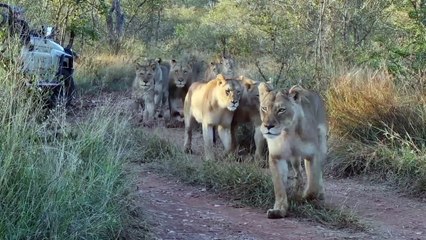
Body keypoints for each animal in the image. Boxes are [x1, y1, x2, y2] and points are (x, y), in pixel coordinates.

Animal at [256, 82, 330, 219]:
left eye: (281, 110)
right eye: (264, 108)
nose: (268, 126)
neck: (287, 132)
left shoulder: (313, 154)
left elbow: (313, 185)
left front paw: (305, 197)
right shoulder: (277, 157)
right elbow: (279, 187)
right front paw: (279, 210)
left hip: (322, 144)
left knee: (317, 175)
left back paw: (319, 193)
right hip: (295, 159)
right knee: (298, 172)